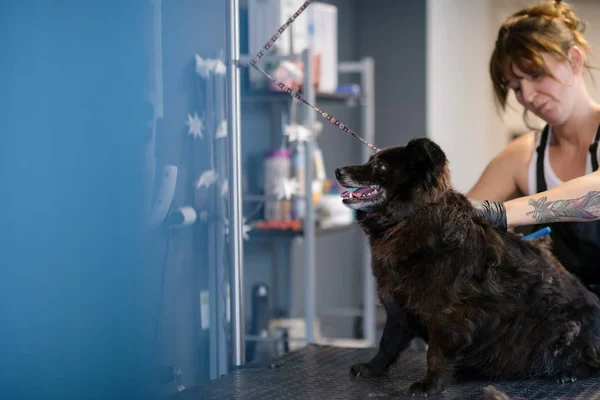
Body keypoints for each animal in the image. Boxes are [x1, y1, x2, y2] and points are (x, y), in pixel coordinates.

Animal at [336, 138, 600, 396]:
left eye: (380, 166)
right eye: (370, 161)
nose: (339, 171)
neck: (406, 219)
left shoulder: (446, 314)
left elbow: (434, 353)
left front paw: (430, 384)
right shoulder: (398, 308)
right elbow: (387, 343)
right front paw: (372, 367)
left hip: (568, 328)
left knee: (588, 361)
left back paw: (568, 372)